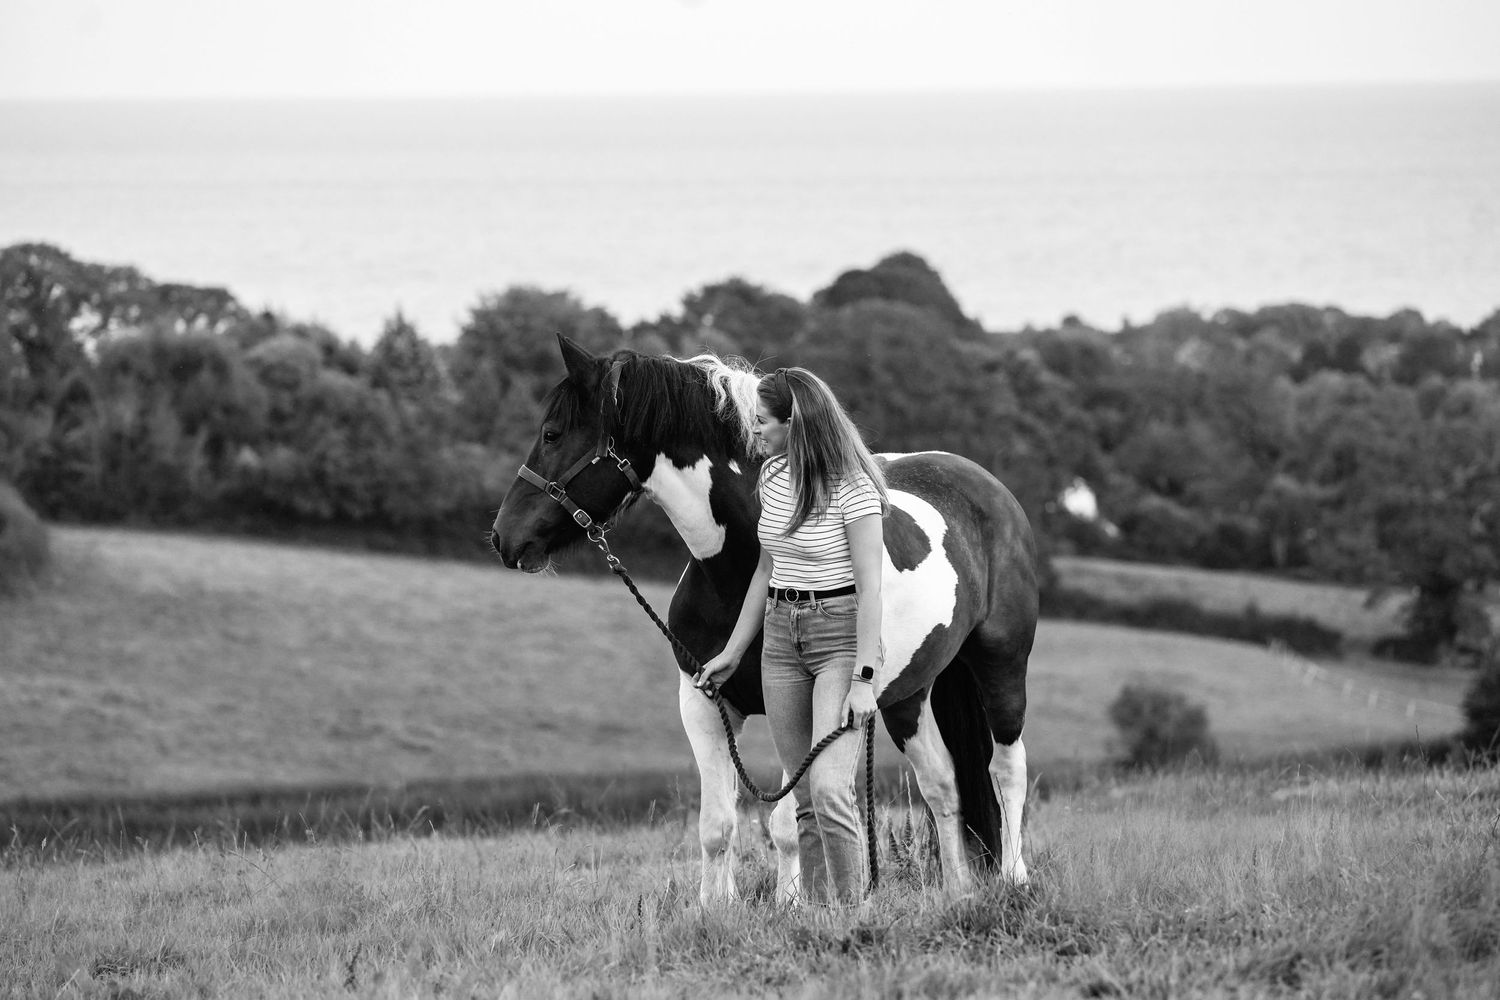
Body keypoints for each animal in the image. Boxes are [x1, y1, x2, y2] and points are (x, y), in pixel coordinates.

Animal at [491, 336, 1038, 903]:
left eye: (552, 434)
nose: (504, 537)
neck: (734, 569)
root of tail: (987, 488)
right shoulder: (705, 703)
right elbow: (717, 824)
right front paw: (714, 908)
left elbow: (785, 822)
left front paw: (792, 903)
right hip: (908, 694)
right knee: (944, 784)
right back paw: (958, 891)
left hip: (1001, 664)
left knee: (1006, 768)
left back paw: (1015, 877)